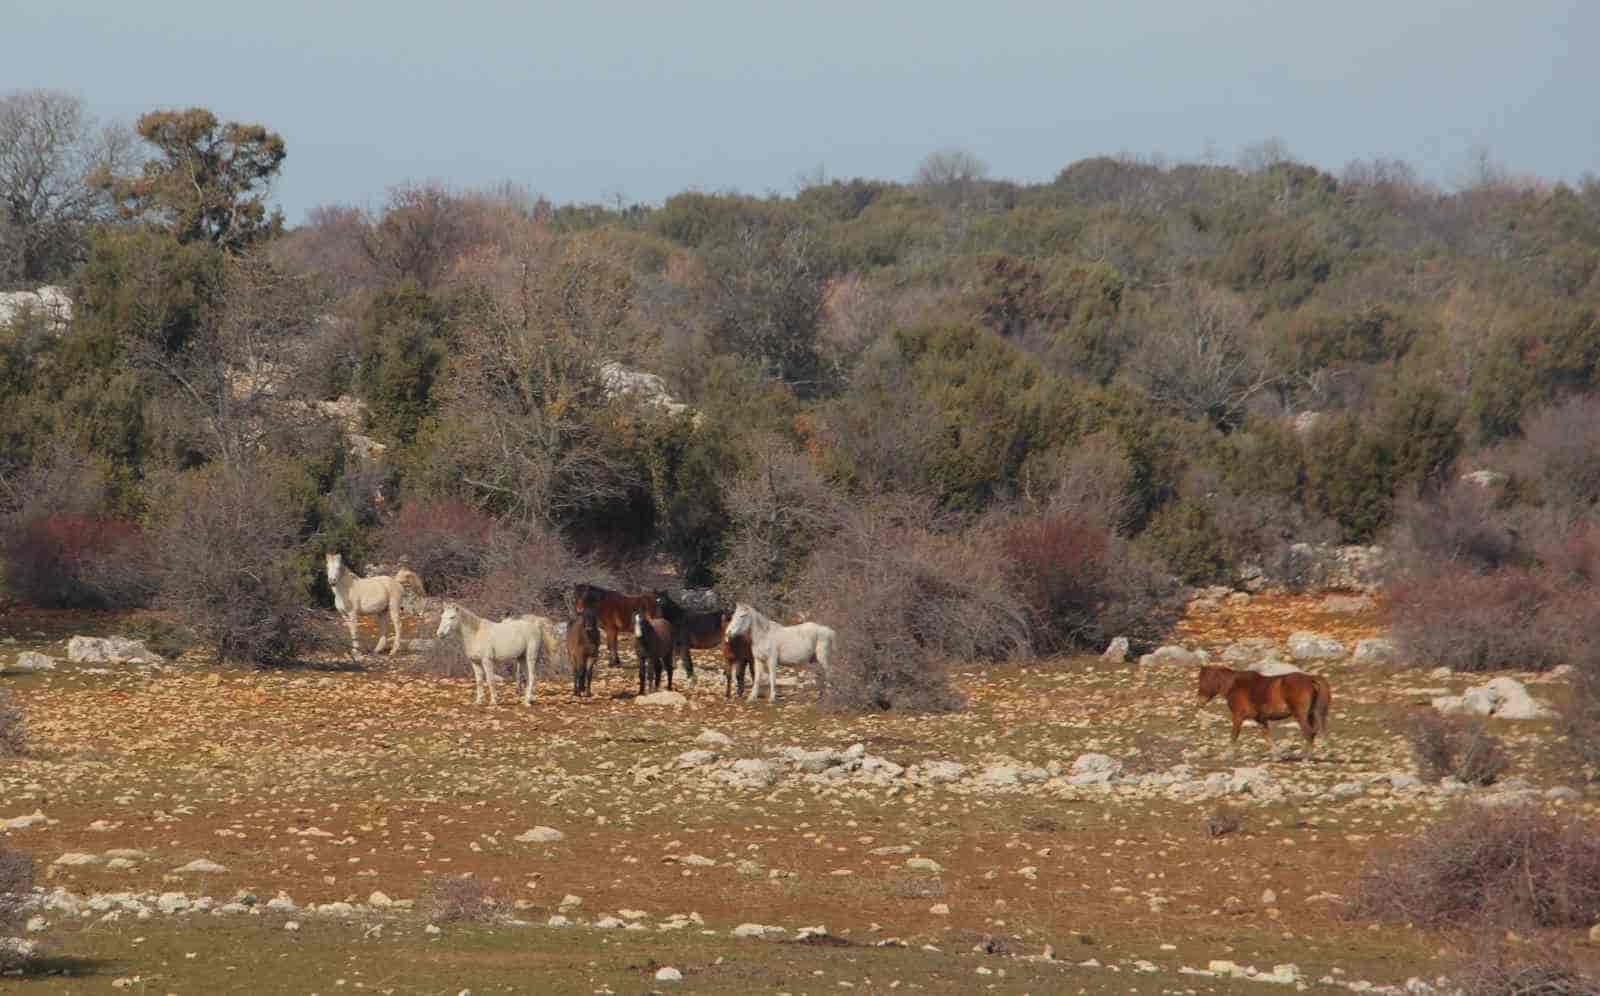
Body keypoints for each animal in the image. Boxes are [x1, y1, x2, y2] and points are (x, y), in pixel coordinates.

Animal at [1196, 662, 1331, 755]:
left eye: (1203, 680)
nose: (1199, 703)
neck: (1234, 685)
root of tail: (1311, 679)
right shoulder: (1261, 719)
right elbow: (1267, 735)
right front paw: (1277, 754)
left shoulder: (1238, 716)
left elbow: (1234, 735)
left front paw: (1227, 755)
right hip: (1312, 714)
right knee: (1315, 732)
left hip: (1301, 715)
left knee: (1309, 732)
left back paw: (1306, 757)